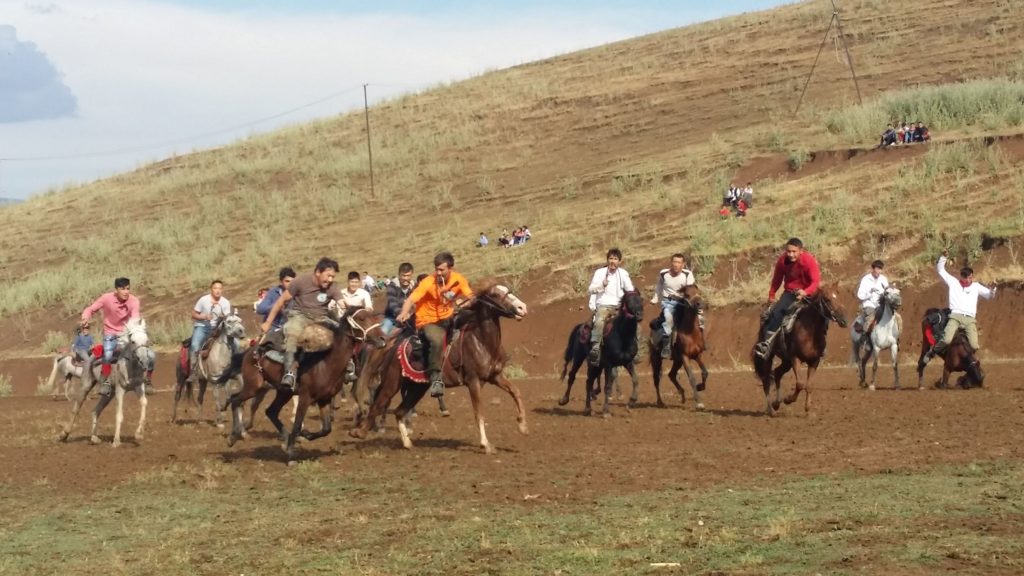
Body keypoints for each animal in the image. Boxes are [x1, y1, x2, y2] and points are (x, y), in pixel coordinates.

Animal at [57, 315, 153, 446]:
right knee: (76, 408)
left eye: (146, 340)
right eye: (133, 341)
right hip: (86, 385)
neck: (130, 367)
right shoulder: (120, 390)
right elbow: (119, 415)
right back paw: (63, 435)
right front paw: (116, 441)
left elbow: (144, 403)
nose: (144, 361)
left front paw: (138, 434)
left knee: (95, 410)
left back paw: (94, 437)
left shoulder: (138, 387)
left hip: (109, 394)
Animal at [218, 307, 385, 459]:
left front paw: (305, 436)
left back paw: (284, 439)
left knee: (270, 411)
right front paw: (292, 454)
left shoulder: (324, 399)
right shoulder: (305, 397)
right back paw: (233, 437)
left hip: (283, 391)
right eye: (362, 318)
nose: (382, 339)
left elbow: (326, 429)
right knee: (236, 400)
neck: (325, 363)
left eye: (373, 316)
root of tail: (251, 350)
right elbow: (298, 424)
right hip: (254, 386)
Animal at [350, 282, 528, 453]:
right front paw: (485, 445)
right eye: (495, 294)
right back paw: (359, 432)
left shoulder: (495, 376)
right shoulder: (474, 381)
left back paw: (407, 443)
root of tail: (394, 345)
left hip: (417, 388)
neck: (481, 341)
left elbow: (516, 392)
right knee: (378, 404)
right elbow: (479, 413)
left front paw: (522, 425)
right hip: (392, 383)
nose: (522, 308)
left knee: (399, 411)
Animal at [753, 282, 847, 414]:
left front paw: (807, 407)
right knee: (766, 379)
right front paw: (788, 400)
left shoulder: (814, 361)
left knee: (777, 373)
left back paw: (776, 403)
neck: (810, 331)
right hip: (768, 357)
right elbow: (800, 384)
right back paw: (771, 409)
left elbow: (809, 385)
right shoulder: (795, 358)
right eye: (827, 299)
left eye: (839, 297)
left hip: (786, 361)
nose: (843, 320)